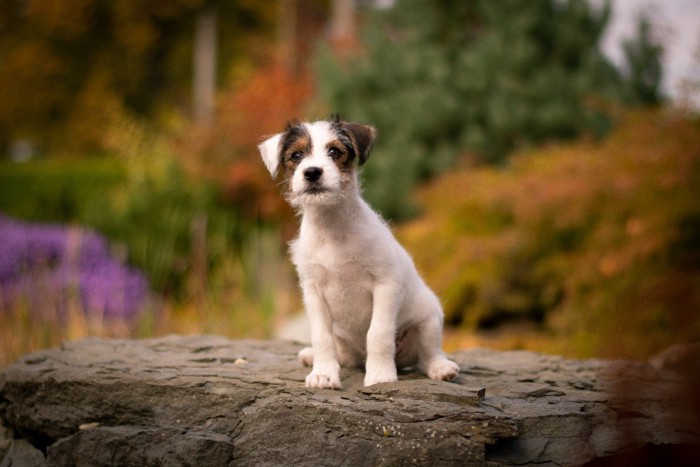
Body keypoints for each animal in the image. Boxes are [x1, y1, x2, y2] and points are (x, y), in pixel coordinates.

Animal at [258, 115, 460, 390]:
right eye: (297, 155)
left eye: (334, 151)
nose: (312, 172)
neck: (333, 227)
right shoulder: (313, 292)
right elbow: (321, 337)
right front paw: (323, 374)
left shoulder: (386, 284)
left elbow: (378, 333)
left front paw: (380, 375)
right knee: (342, 353)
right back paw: (311, 356)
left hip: (429, 318)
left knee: (428, 354)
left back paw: (441, 368)